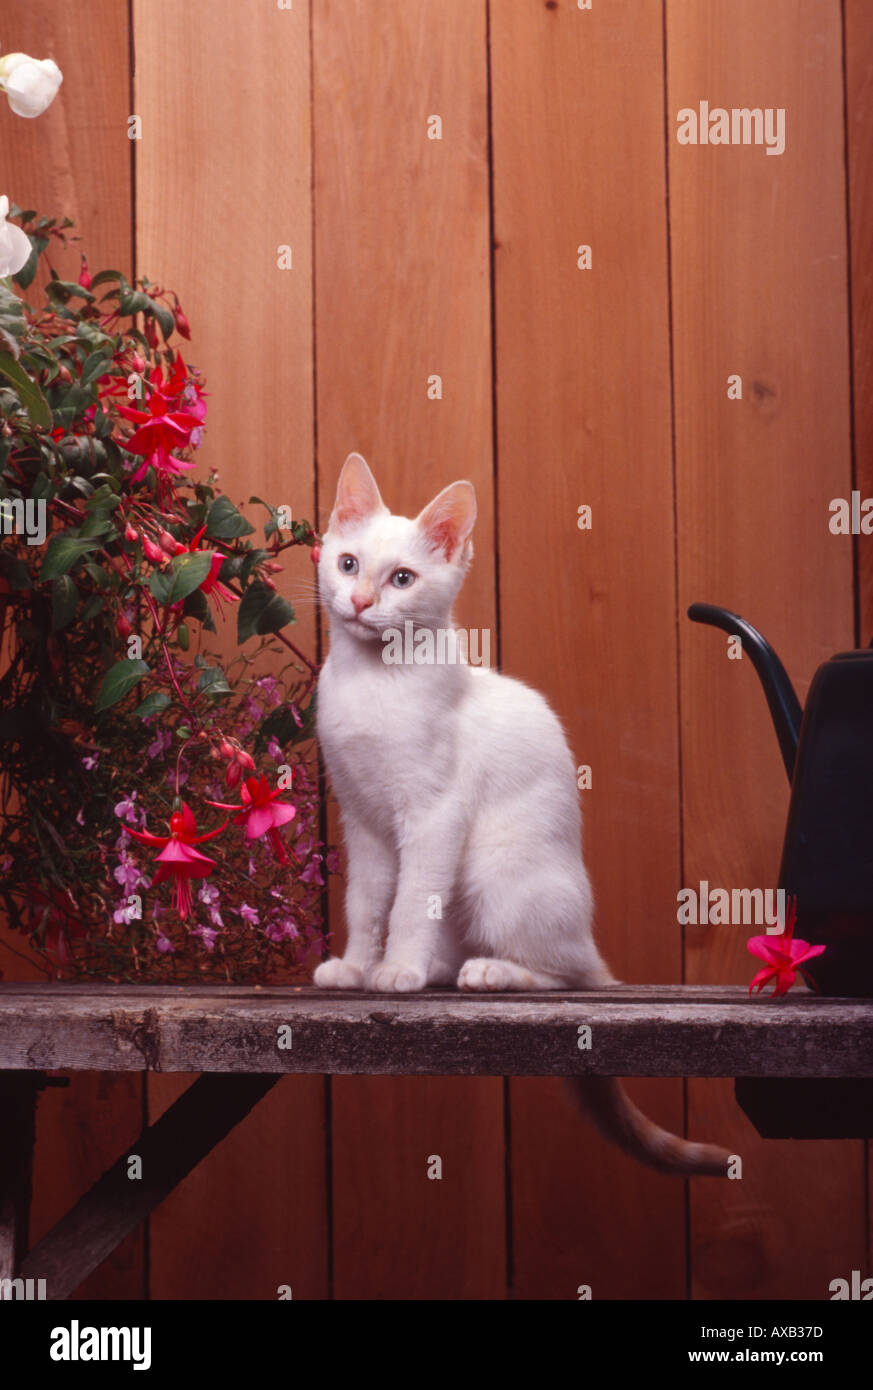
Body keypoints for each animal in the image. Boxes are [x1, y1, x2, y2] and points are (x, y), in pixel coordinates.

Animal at [314, 455, 728, 1173]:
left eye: (402, 578)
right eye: (347, 563)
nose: (361, 602)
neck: (369, 681)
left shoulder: (434, 814)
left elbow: (409, 901)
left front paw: (395, 969)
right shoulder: (360, 818)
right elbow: (366, 903)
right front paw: (359, 965)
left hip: (496, 875)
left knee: (570, 974)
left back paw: (489, 970)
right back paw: (444, 967)